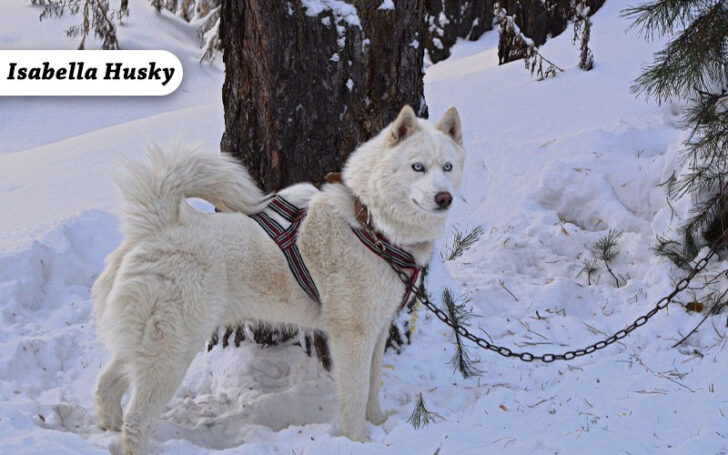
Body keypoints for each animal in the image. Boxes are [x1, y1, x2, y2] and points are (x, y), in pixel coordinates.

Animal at [92, 105, 466, 454]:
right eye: (417, 167)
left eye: (447, 167)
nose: (444, 198)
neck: (370, 223)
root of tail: (161, 224)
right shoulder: (353, 336)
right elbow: (356, 394)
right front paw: (358, 440)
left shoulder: (378, 329)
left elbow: (373, 387)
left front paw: (379, 423)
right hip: (172, 352)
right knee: (136, 420)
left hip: (149, 343)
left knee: (106, 383)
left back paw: (107, 427)